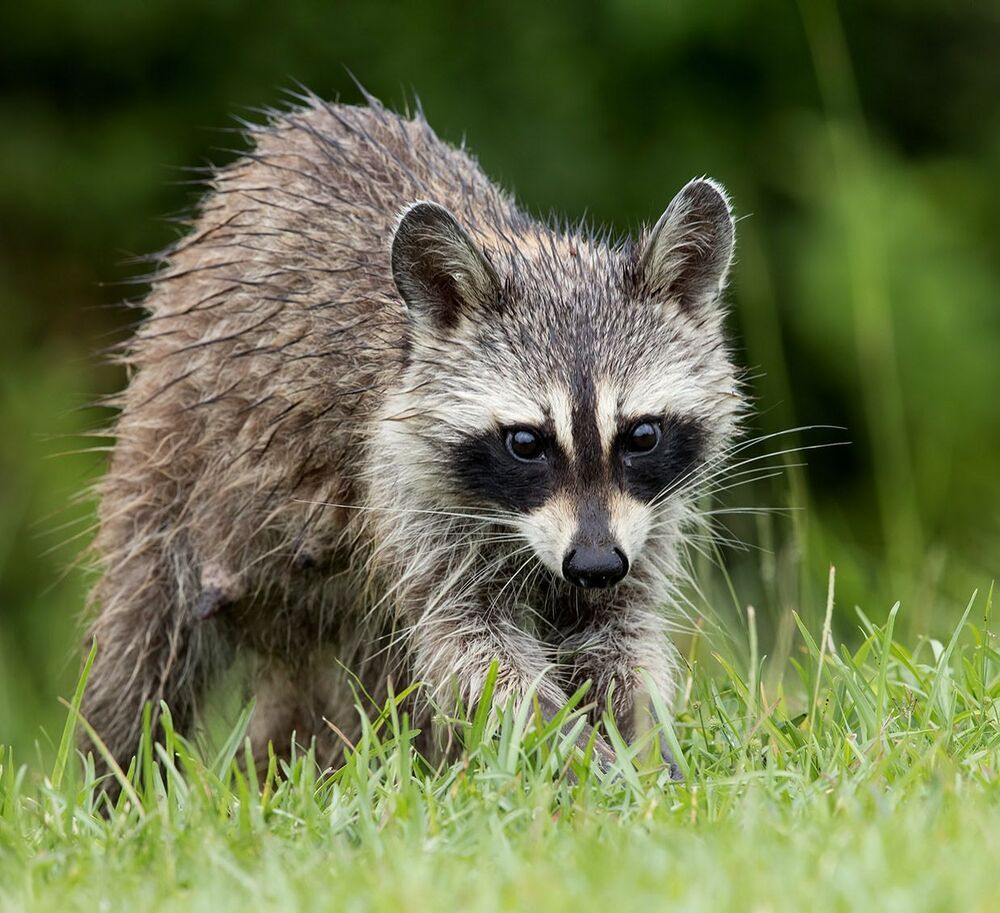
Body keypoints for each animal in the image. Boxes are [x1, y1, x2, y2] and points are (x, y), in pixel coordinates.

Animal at [81, 90, 741, 781]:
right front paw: (578, 752)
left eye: (641, 436)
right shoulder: (406, 490)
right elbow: (472, 646)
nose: (593, 566)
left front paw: (642, 743)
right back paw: (117, 776)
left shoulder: (644, 521)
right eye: (526, 443)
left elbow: (616, 634)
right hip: (173, 460)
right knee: (143, 645)